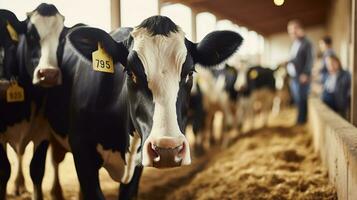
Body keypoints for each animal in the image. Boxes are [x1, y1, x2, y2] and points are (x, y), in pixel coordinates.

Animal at [26, 14, 242, 199]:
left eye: (189, 73)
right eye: (130, 73)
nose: (167, 151)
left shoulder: (138, 161)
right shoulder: (81, 150)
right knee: (38, 169)